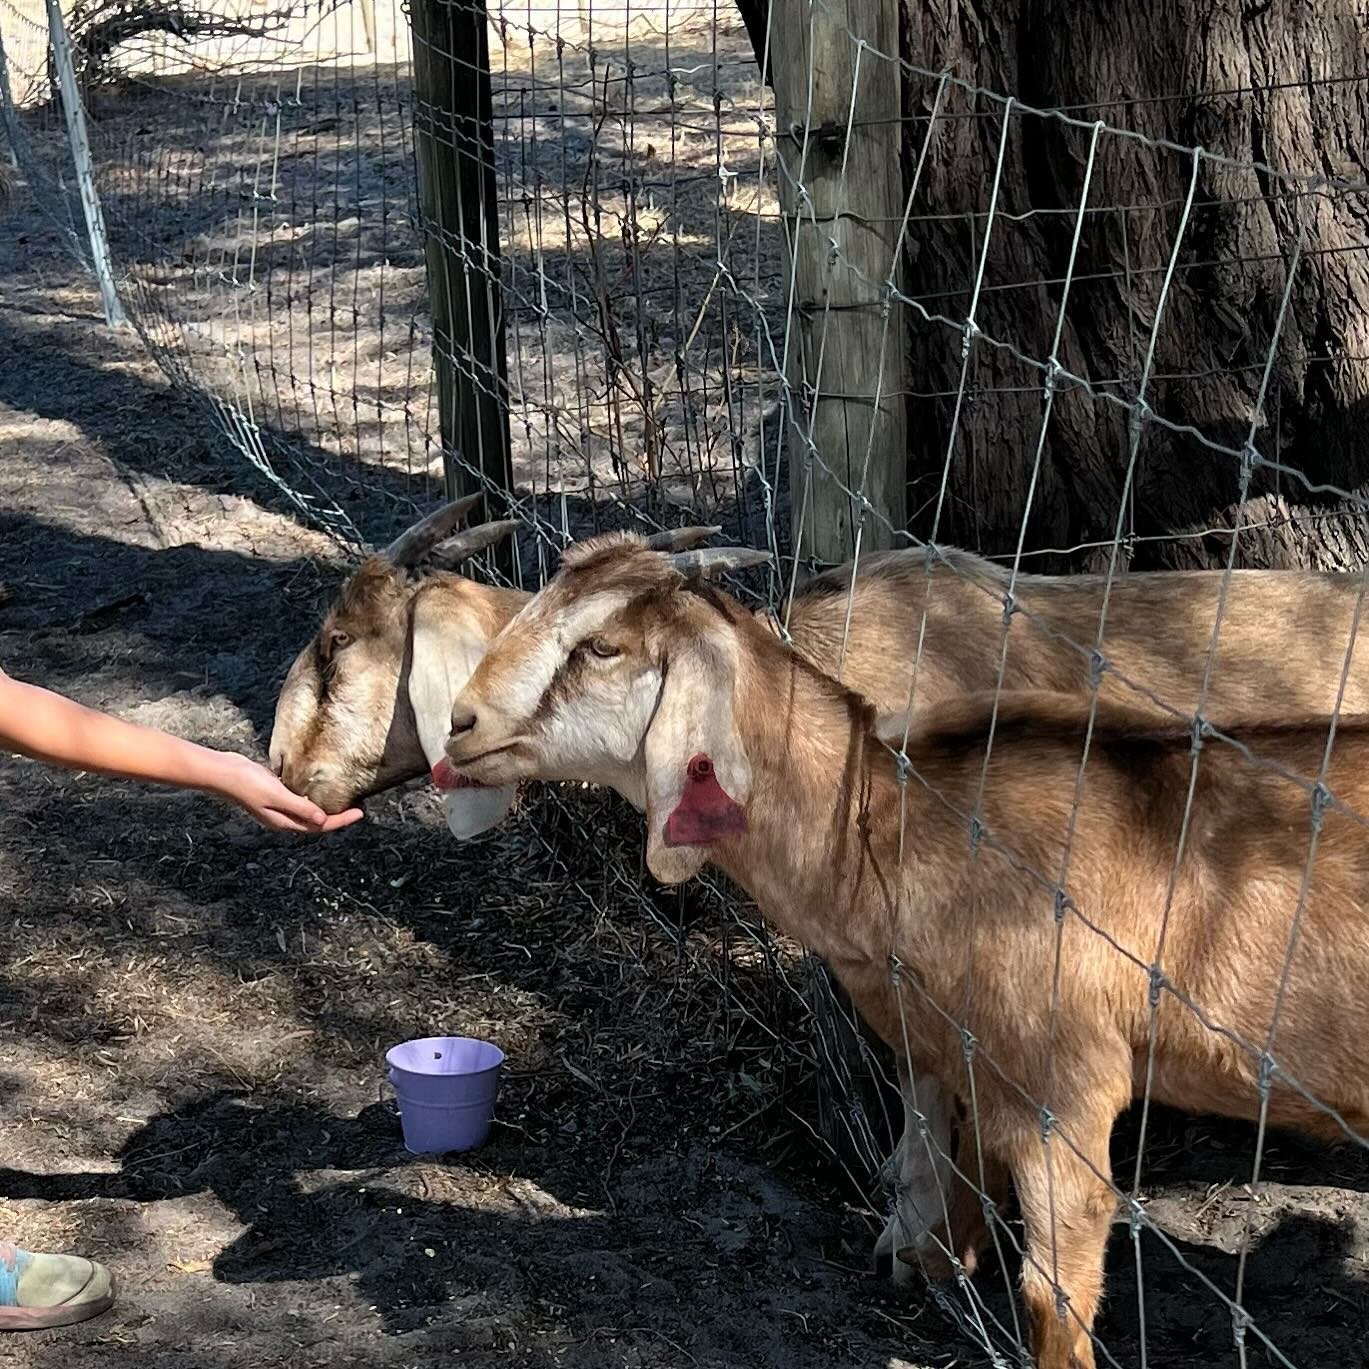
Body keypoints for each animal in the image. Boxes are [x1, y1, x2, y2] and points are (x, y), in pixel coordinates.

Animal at [446, 533, 1369, 1369]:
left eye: (602, 646)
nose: (459, 724)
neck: (884, 819)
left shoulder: (1063, 1090)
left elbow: (1051, 1299)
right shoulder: (956, 1052)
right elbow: (953, 1169)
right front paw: (931, 1262)